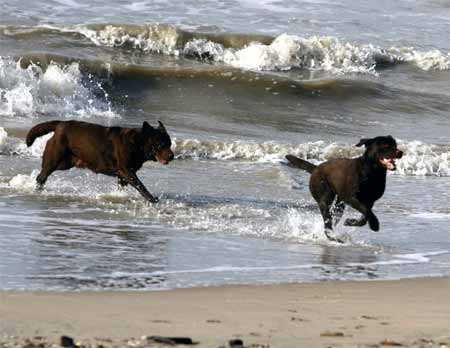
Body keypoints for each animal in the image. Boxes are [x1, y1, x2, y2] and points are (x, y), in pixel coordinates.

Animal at [25, 119, 174, 203]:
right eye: (160, 144)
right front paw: (152, 199)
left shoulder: (123, 175)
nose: (172, 156)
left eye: (170, 143)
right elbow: (140, 185)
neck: (138, 143)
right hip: (55, 158)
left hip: (66, 163)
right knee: (42, 175)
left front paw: (120, 196)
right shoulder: (126, 170)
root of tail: (60, 125)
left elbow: (123, 186)